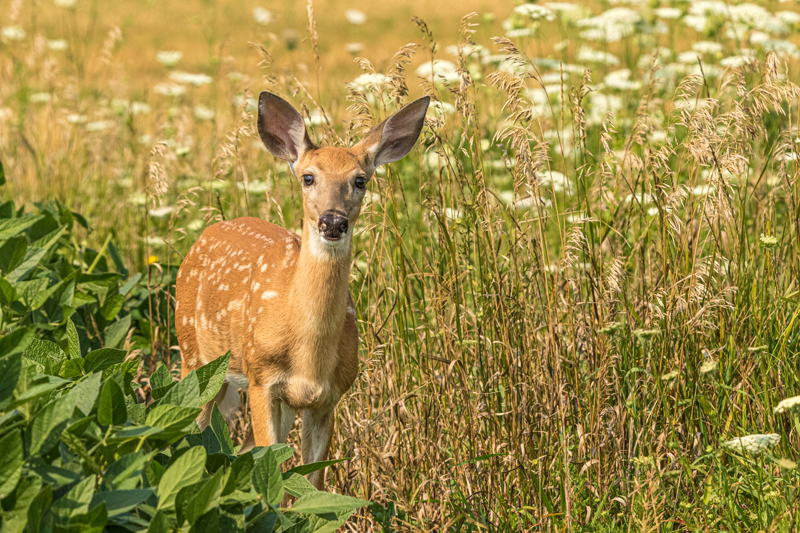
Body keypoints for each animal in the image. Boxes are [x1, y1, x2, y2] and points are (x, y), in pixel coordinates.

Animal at [172, 90, 428, 486]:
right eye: (308, 177)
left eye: (360, 180)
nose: (332, 221)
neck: (308, 352)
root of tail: (208, 231)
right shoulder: (261, 379)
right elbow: (272, 472)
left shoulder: (328, 397)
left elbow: (312, 482)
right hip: (193, 354)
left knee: (240, 449)